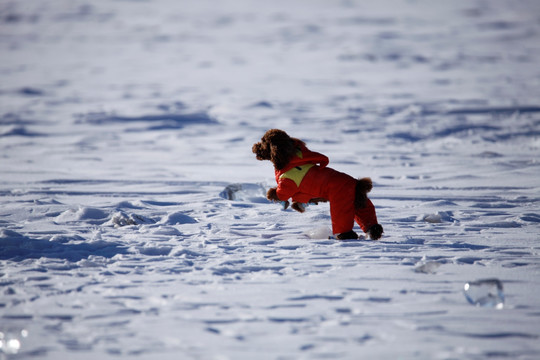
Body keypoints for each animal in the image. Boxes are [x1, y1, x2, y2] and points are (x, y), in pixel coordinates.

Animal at [254, 128, 384, 240]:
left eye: (263, 141)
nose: (254, 147)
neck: (289, 160)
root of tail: (357, 184)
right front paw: (298, 206)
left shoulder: (288, 184)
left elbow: (279, 193)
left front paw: (272, 196)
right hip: (359, 203)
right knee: (369, 220)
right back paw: (373, 233)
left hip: (341, 202)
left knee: (343, 223)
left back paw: (341, 237)